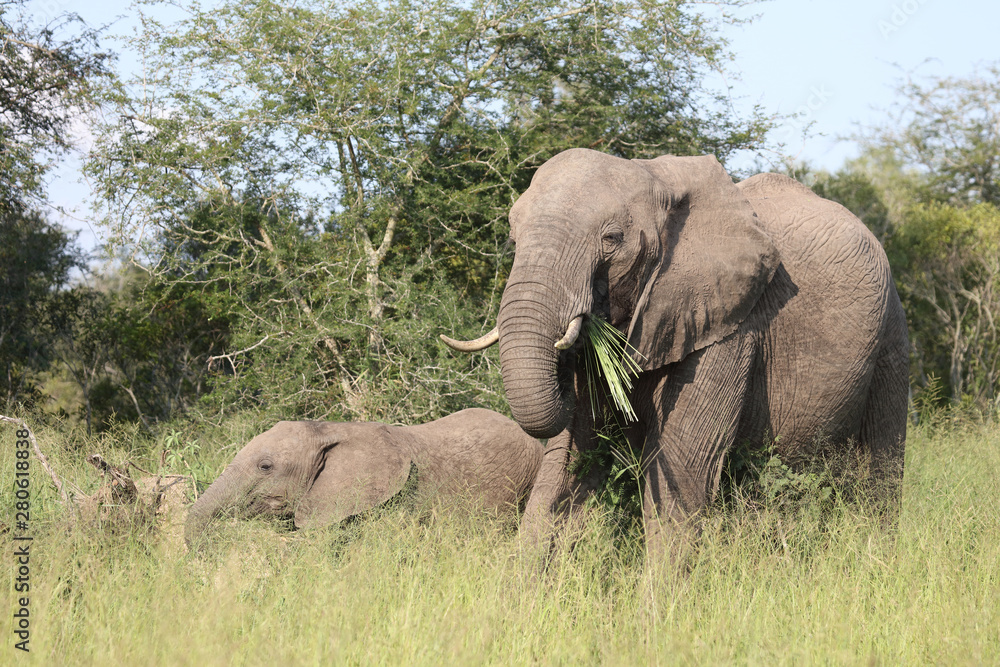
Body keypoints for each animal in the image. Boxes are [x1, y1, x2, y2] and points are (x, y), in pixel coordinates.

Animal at [442, 148, 909, 552]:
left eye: (612, 239)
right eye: (512, 236)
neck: (657, 178)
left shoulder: (732, 327)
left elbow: (682, 467)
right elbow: (564, 464)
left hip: (892, 335)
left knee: (880, 471)